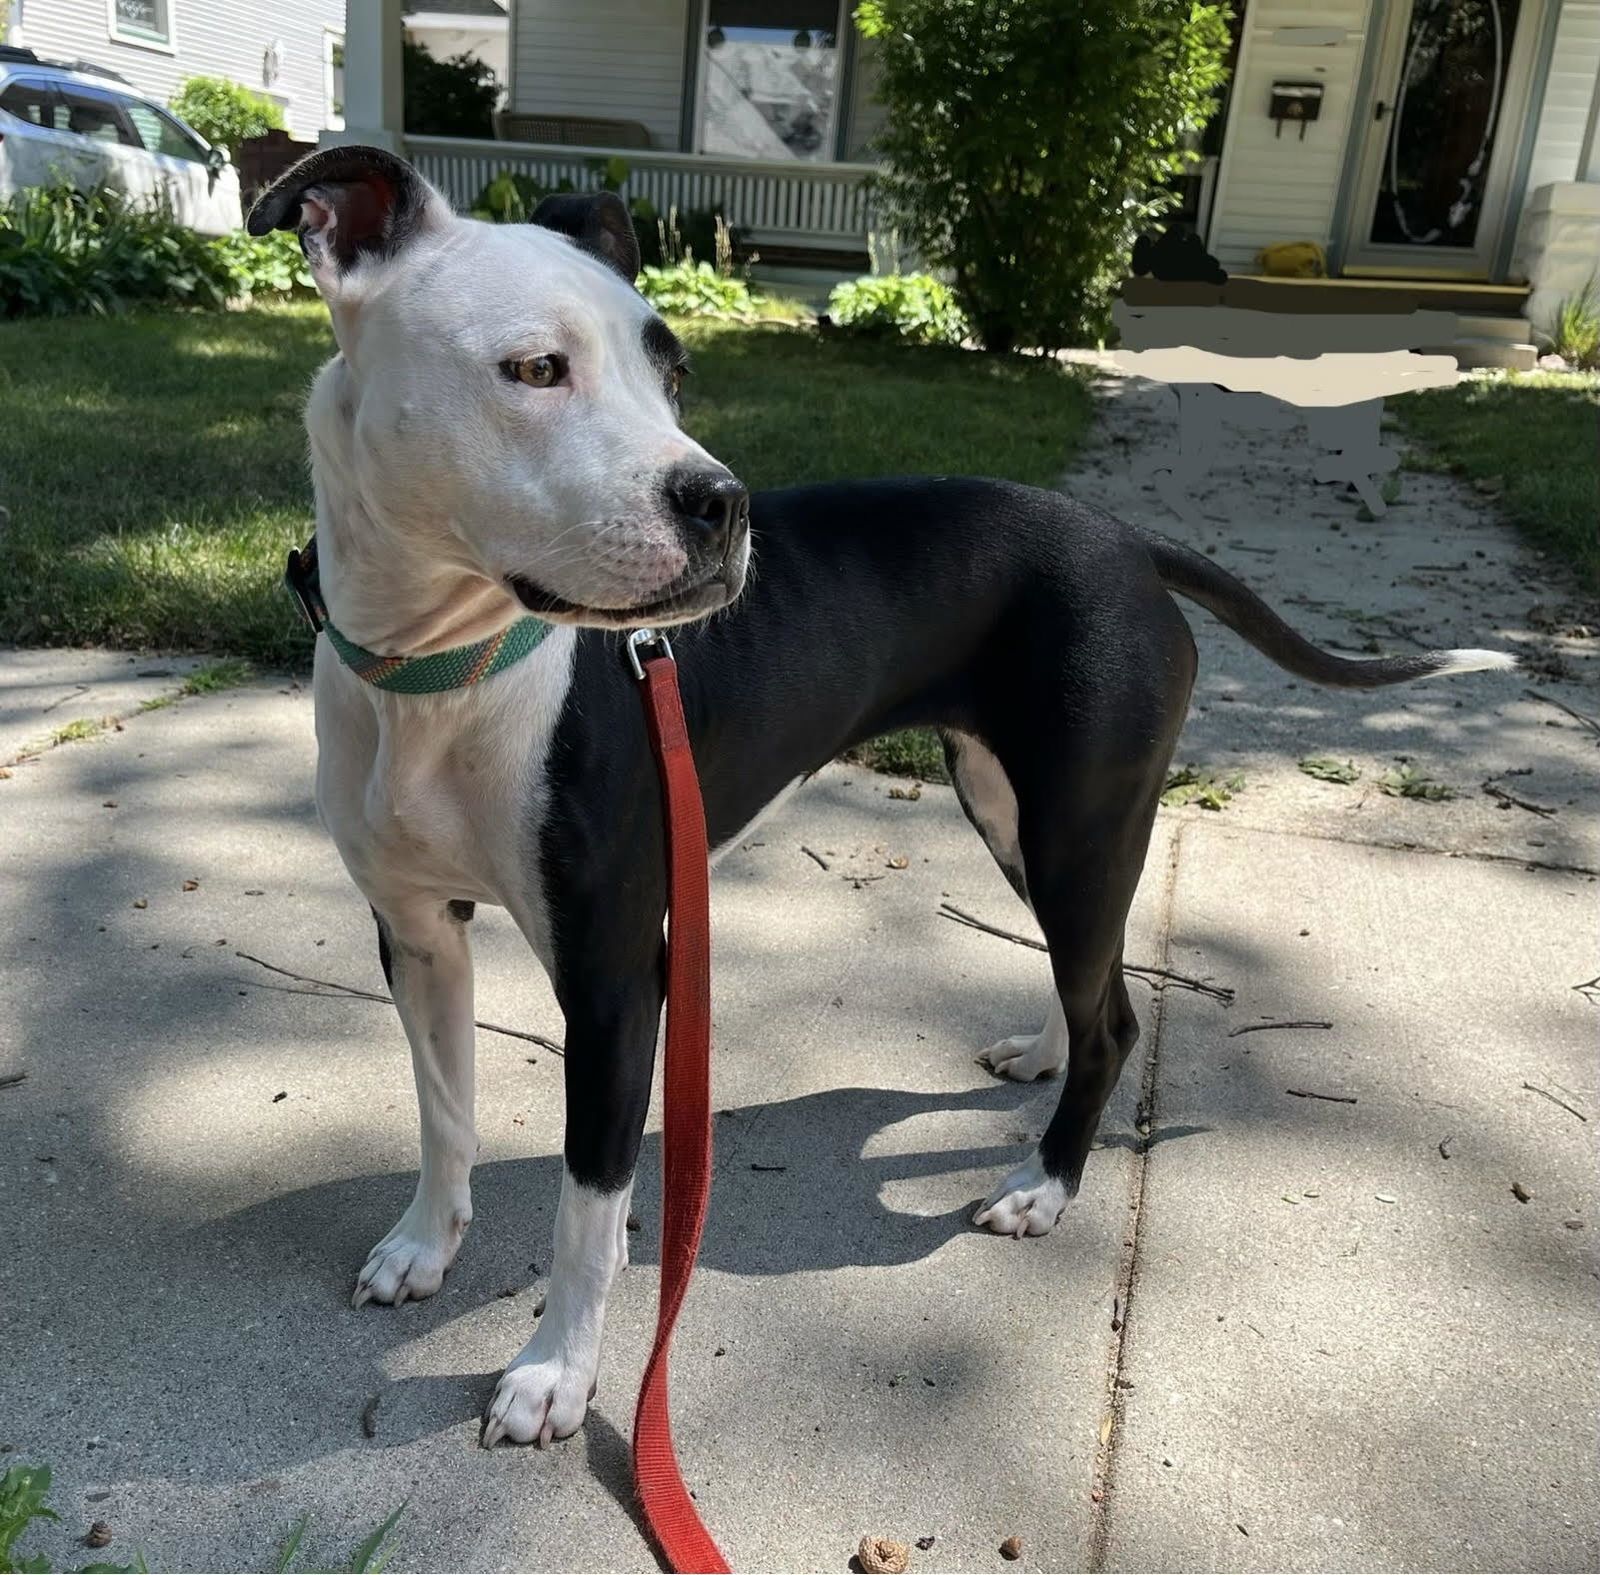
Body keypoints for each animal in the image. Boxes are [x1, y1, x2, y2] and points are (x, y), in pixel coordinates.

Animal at [249, 147, 1510, 1453]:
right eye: (535, 369)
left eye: (673, 371)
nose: (724, 503)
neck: (444, 670)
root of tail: (1124, 539)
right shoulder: (417, 937)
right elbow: (443, 1108)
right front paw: (422, 1247)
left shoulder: (613, 982)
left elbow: (585, 1208)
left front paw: (556, 1370)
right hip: (1017, 817)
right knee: (1094, 979)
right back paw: (1044, 1054)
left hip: (1077, 826)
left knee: (1113, 1013)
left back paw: (1043, 1185)